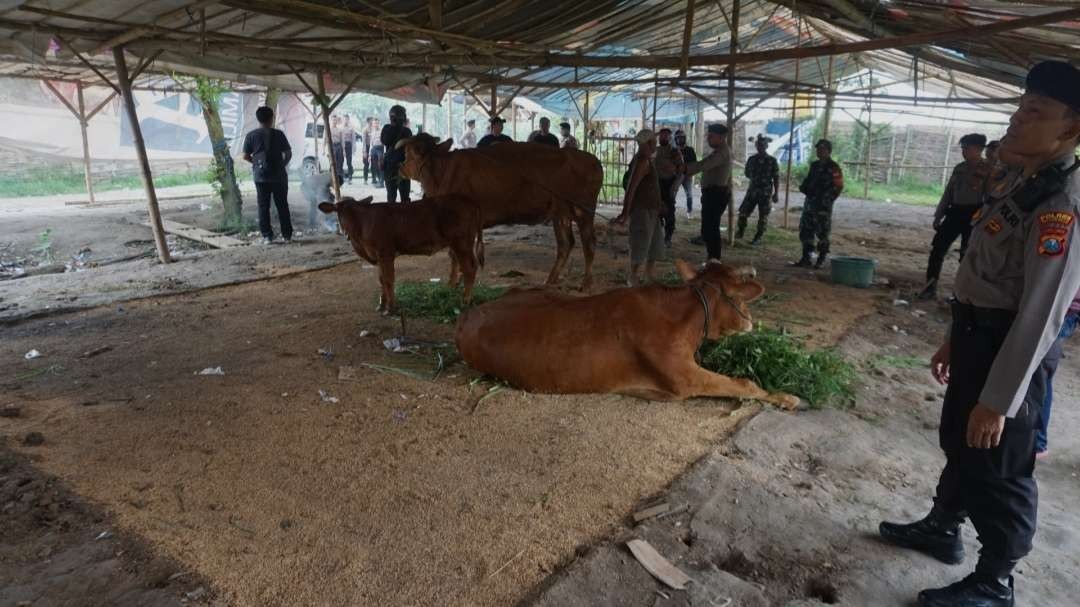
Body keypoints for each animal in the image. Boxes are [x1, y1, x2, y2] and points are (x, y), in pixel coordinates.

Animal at [319, 196, 486, 313]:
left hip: (461, 243)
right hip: (462, 244)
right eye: (338, 211)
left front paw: (391, 307)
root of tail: (469, 201)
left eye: (355, 212)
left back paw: (465, 301)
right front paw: (382, 304)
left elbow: (388, 279)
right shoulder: (378, 256)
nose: (347, 230)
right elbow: (381, 279)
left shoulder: (385, 253)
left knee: (469, 269)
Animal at [397, 135, 604, 291]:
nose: (400, 166)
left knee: (589, 244)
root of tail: (593, 160)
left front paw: (452, 283)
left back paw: (586, 284)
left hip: (584, 211)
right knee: (565, 244)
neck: (442, 170)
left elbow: (454, 254)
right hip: (560, 214)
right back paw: (550, 280)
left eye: (407, 153)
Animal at [451, 259, 799, 406]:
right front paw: (785, 397)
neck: (684, 318)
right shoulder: (683, 377)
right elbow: (744, 383)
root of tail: (467, 315)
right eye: (740, 298)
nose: (750, 320)